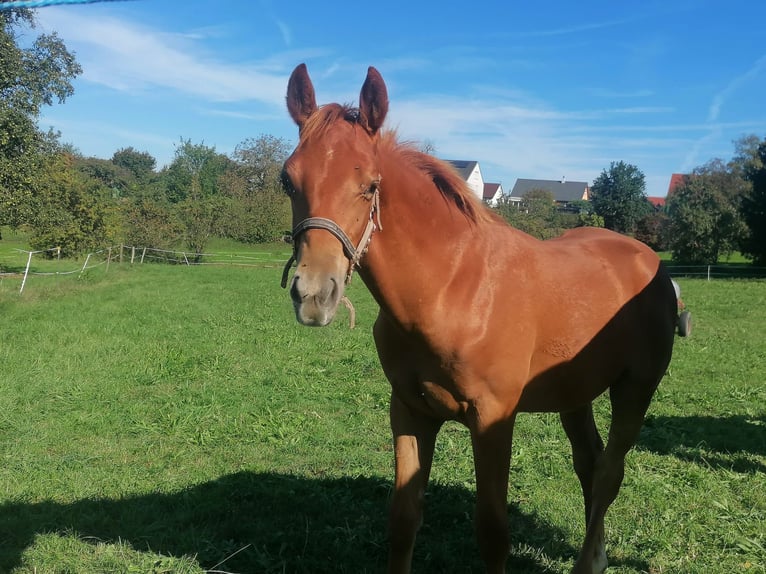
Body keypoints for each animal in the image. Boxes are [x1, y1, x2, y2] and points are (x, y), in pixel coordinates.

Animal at [280, 63, 677, 574]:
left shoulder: (493, 418)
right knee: (589, 464)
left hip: (636, 387)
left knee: (609, 472)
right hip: (575, 393)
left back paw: (588, 561)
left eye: (370, 185)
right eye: (288, 181)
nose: (314, 295)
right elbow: (403, 518)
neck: (452, 288)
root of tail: (649, 260)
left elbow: (492, 531)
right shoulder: (409, 411)